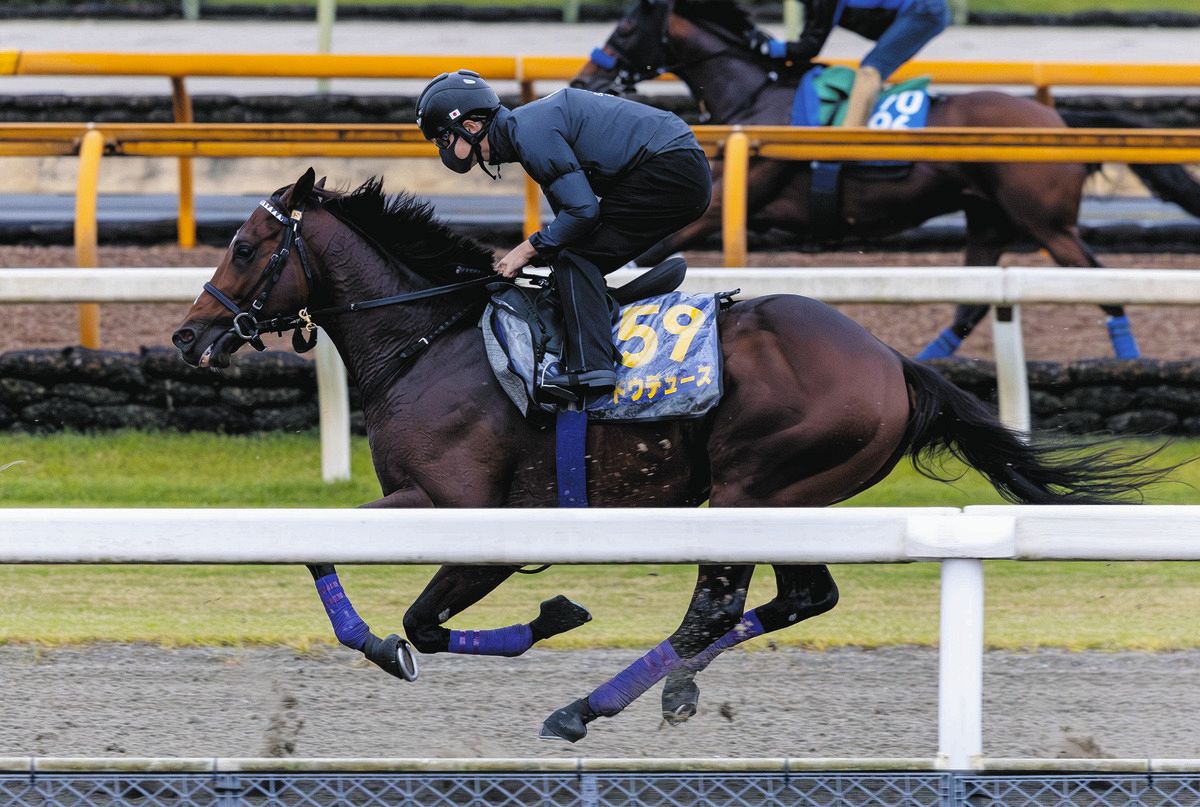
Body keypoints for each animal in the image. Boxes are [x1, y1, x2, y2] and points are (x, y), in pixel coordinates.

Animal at [174, 168, 1166, 744]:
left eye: (245, 246)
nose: (187, 336)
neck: (433, 340)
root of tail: (891, 359)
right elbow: (325, 552)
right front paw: (405, 637)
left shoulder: (471, 516)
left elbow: (421, 620)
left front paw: (542, 616)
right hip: (790, 501)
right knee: (800, 598)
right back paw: (675, 689)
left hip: (755, 486)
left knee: (715, 603)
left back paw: (589, 705)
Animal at [566, 0, 1200, 360]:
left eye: (626, 27)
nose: (586, 78)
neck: (754, 102)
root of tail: (1059, 121)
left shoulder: (724, 203)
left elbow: (656, 250)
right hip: (988, 220)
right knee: (973, 300)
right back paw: (930, 359)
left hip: (1046, 223)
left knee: (1097, 277)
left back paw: (1128, 354)